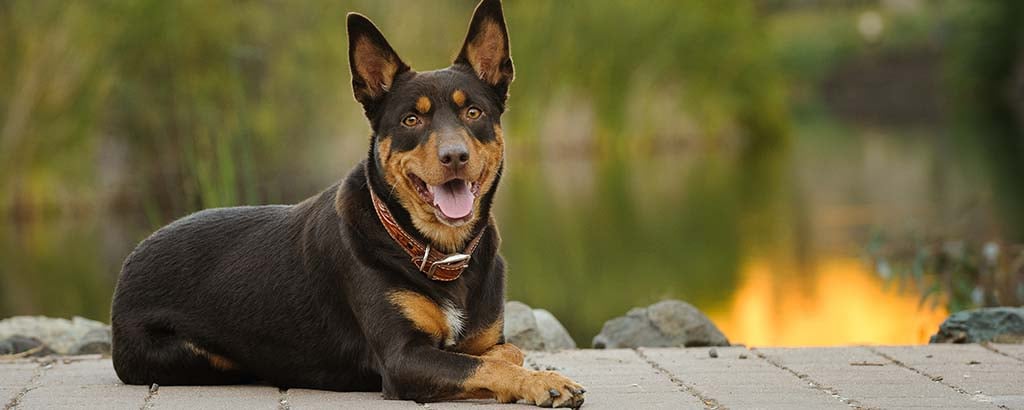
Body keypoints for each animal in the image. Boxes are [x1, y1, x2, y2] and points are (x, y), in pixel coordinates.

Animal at [111, 0, 585, 405]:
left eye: (474, 113)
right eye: (411, 119)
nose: (454, 156)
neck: (438, 253)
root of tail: (130, 260)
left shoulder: (485, 339)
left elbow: (504, 353)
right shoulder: (402, 358)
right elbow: (484, 365)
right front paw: (544, 382)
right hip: (193, 355)